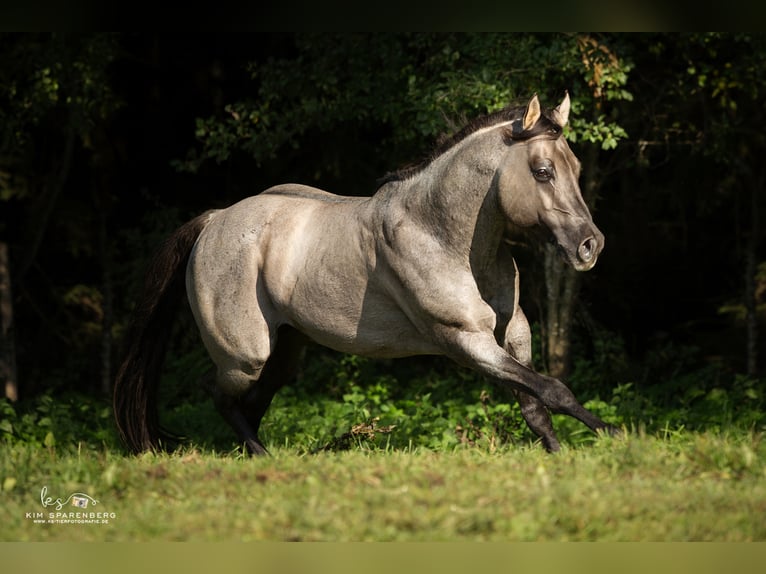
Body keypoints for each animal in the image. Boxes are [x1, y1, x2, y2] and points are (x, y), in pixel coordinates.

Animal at [114, 92, 616, 456]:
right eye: (543, 171)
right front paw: (612, 434)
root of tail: (215, 220)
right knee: (220, 395)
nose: (590, 246)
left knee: (251, 403)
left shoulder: (513, 335)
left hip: (286, 351)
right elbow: (553, 389)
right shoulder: (464, 341)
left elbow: (535, 402)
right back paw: (261, 456)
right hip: (247, 355)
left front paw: (562, 455)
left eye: (575, 167)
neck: (441, 234)